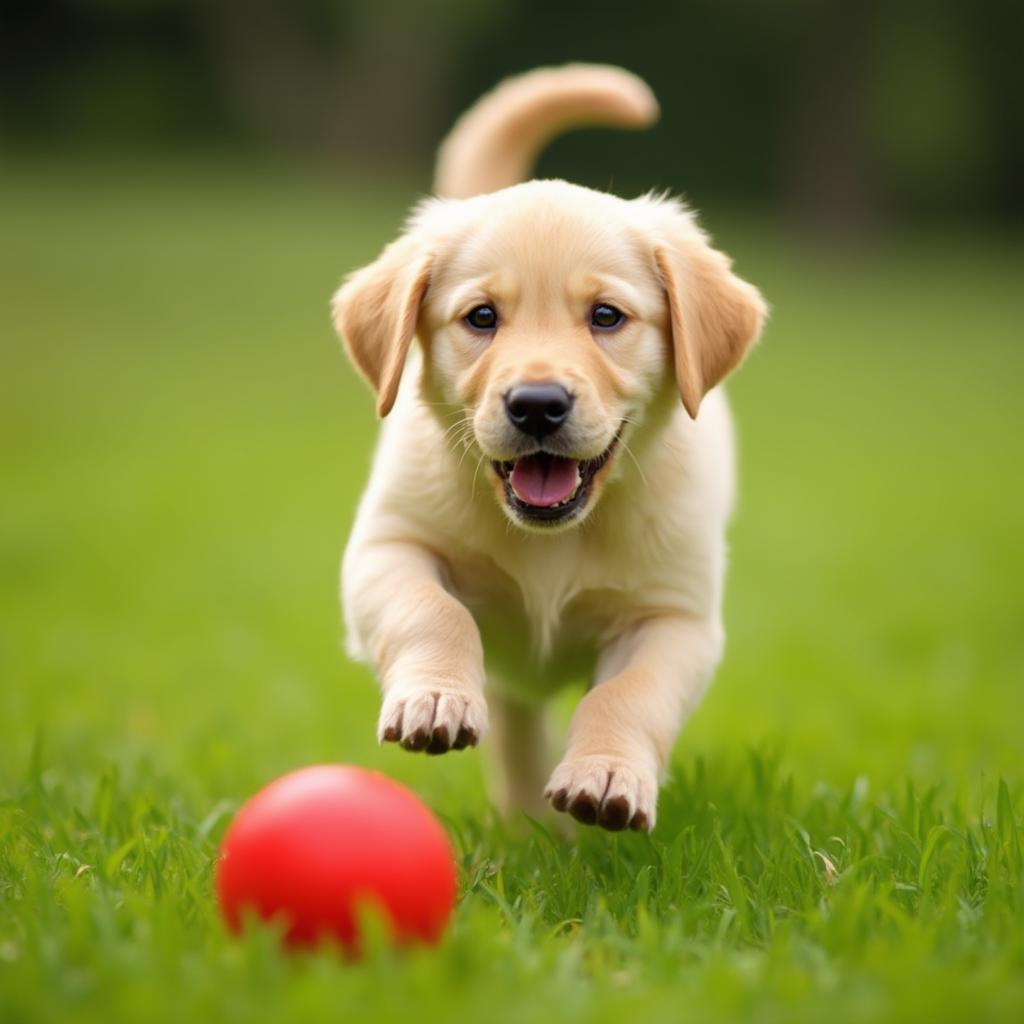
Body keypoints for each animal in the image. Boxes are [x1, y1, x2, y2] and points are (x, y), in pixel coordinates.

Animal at [331, 64, 765, 831]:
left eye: (606, 316)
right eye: (481, 317)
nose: (536, 405)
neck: (556, 535)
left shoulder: (674, 617)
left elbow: (629, 695)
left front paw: (607, 776)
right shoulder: (388, 545)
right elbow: (432, 611)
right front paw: (435, 700)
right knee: (515, 718)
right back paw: (528, 819)